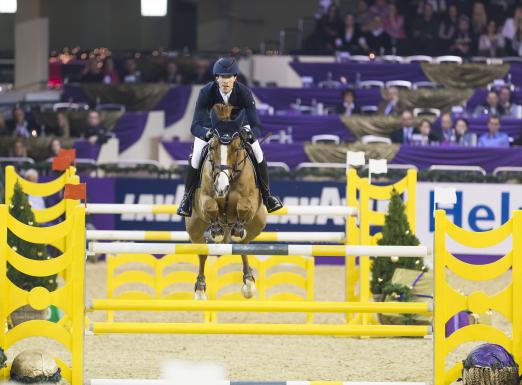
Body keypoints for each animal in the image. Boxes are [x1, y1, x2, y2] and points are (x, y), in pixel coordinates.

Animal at [183, 104, 264, 300]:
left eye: (236, 148)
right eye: (212, 147)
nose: (221, 187)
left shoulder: (251, 201)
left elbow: (244, 205)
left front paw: (237, 227)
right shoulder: (204, 199)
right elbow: (211, 206)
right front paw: (217, 229)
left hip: (258, 223)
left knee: (243, 244)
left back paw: (249, 283)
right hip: (194, 226)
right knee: (202, 252)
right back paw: (200, 289)